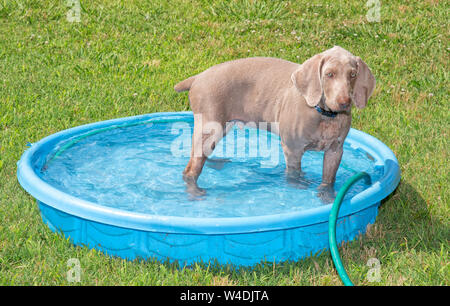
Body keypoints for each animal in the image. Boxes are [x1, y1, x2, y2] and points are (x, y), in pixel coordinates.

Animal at [174, 45, 374, 202]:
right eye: (329, 74)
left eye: (353, 74)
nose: (344, 103)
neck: (323, 115)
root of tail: (198, 77)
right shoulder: (292, 149)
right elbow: (294, 177)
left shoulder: (335, 150)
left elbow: (328, 181)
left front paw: (327, 198)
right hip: (210, 125)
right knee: (190, 169)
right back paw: (195, 193)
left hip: (223, 126)